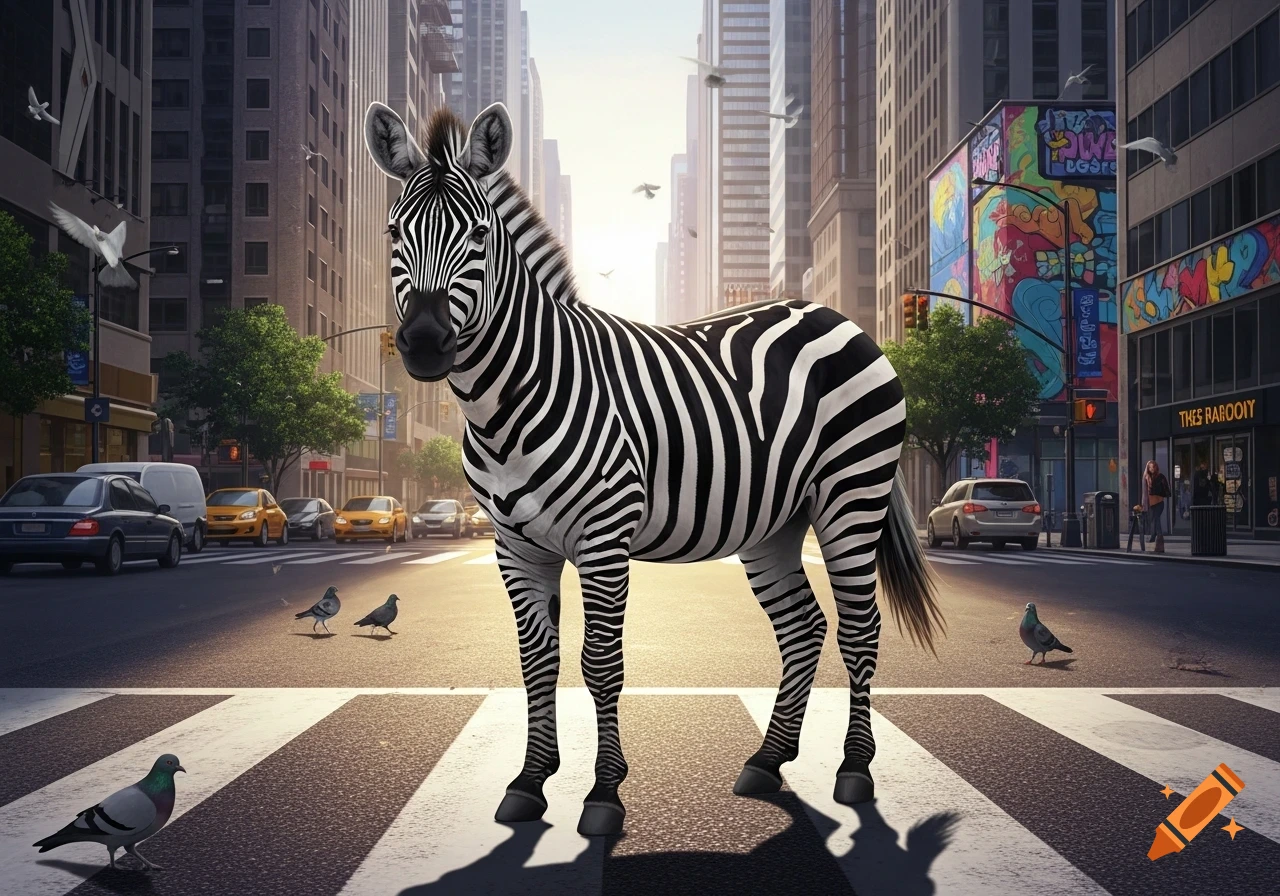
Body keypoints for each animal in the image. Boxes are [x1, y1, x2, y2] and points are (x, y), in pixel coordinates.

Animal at [364, 100, 944, 837]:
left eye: (478, 235)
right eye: (393, 231)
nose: (422, 343)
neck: (509, 399)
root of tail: (834, 315)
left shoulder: (604, 536)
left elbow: (601, 664)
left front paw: (603, 794)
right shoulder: (514, 544)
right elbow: (536, 661)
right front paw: (529, 781)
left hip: (851, 496)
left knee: (860, 627)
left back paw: (854, 771)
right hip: (775, 523)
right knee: (803, 627)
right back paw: (768, 760)